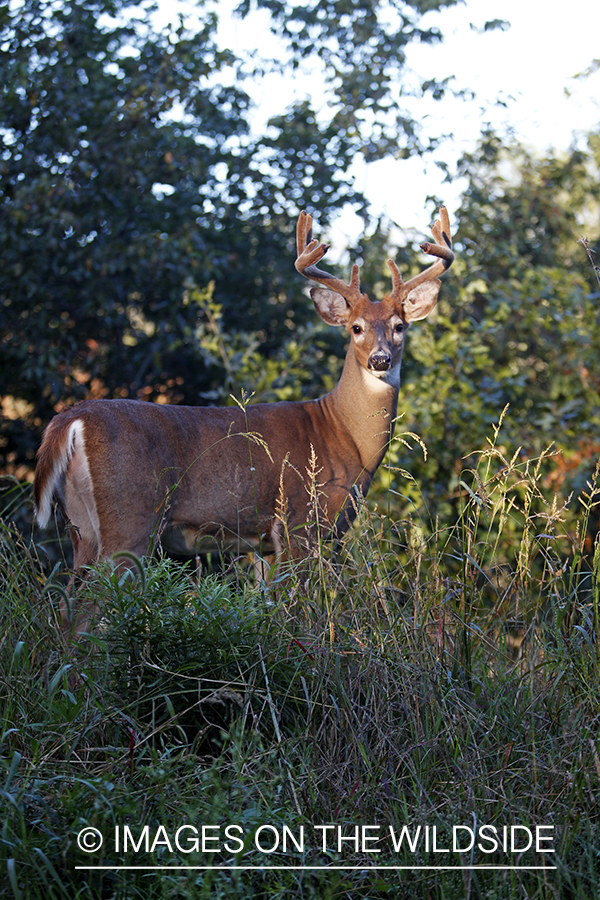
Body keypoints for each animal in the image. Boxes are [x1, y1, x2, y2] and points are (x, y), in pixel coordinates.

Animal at [34, 208, 454, 636]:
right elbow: (297, 612)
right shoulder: (300, 522)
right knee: (89, 611)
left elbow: (269, 607)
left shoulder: (265, 542)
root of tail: (71, 420)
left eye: (400, 326)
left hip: (82, 527)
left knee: (67, 609)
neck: (343, 434)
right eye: (356, 328)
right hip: (131, 518)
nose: (380, 359)